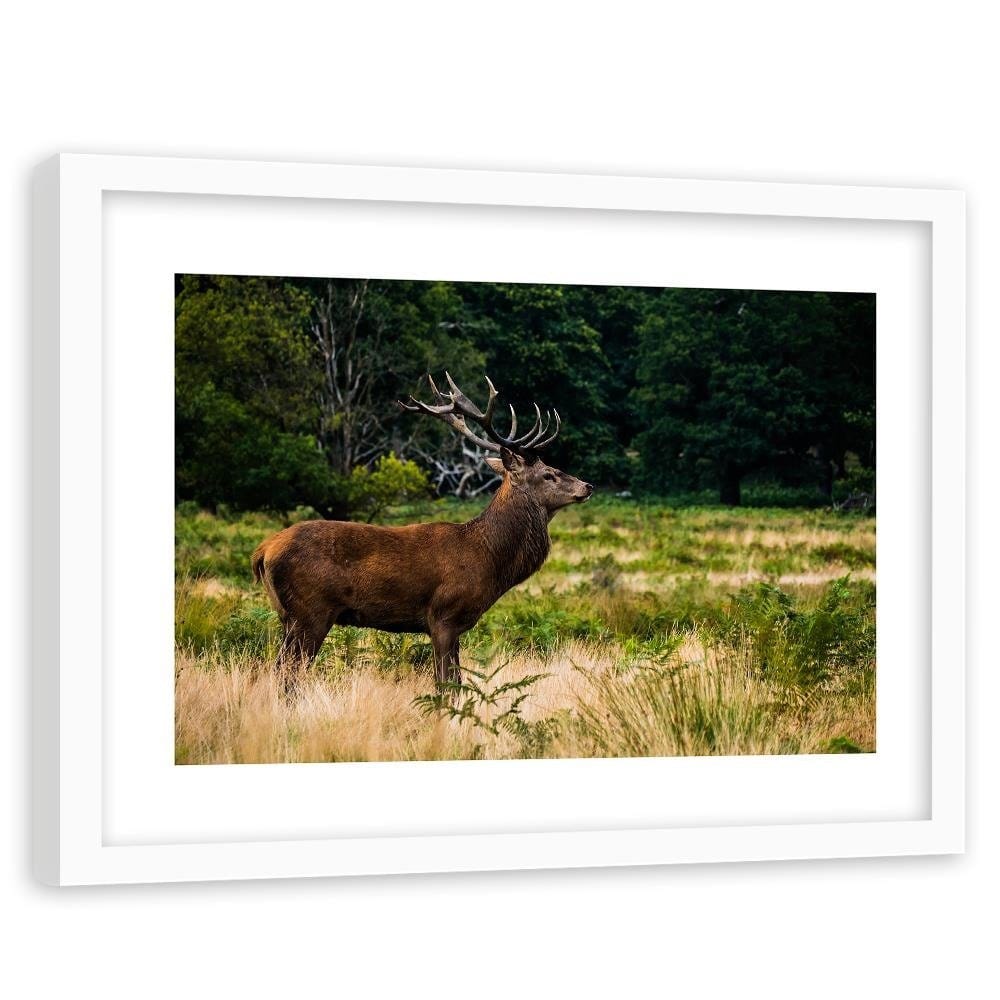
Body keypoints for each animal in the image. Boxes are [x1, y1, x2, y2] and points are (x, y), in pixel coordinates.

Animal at [251, 374, 593, 690]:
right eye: (549, 474)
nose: (587, 485)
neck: (488, 559)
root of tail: (263, 551)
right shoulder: (443, 616)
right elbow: (446, 684)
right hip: (310, 611)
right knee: (287, 675)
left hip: (289, 616)